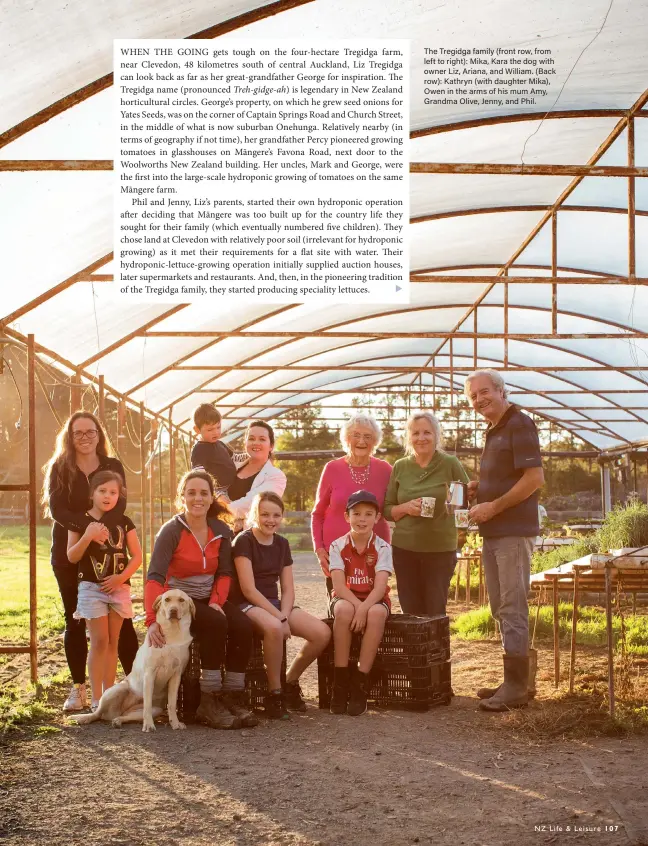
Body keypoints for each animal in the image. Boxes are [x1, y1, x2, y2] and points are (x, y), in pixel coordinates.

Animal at [73, 588, 194, 736]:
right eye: (167, 600)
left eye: (181, 600)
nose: (173, 610)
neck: (172, 634)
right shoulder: (150, 674)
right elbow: (147, 704)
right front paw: (149, 725)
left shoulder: (176, 676)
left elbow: (171, 704)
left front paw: (175, 723)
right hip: (117, 689)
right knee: (98, 713)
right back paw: (85, 718)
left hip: (156, 710)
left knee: (123, 716)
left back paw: (117, 721)